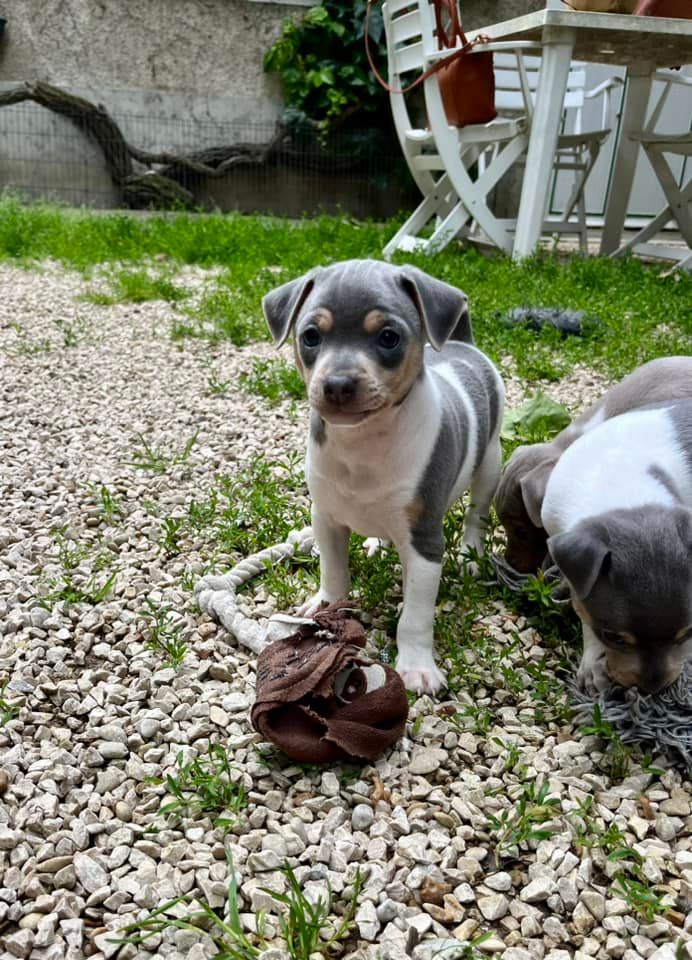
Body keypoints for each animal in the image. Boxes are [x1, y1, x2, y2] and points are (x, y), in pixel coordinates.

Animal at [262, 259, 504, 695]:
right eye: (310, 336)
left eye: (388, 337)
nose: (337, 384)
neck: (363, 443)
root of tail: (463, 345)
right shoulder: (326, 517)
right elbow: (334, 572)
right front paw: (325, 605)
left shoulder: (425, 541)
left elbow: (415, 615)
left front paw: (417, 666)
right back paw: (377, 541)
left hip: (490, 460)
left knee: (477, 512)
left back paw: (471, 554)